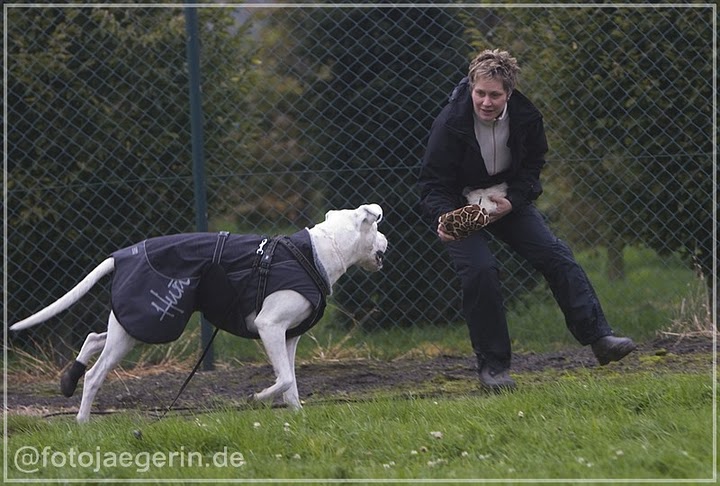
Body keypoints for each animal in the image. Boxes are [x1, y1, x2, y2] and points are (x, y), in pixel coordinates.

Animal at [9, 203, 388, 424]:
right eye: (378, 227)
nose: (387, 242)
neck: (316, 252)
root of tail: (120, 256)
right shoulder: (269, 327)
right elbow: (282, 379)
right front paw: (257, 398)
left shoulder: (288, 337)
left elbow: (290, 380)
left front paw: (295, 417)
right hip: (145, 325)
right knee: (96, 374)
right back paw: (82, 422)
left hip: (133, 328)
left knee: (93, 338)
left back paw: (70, 378)